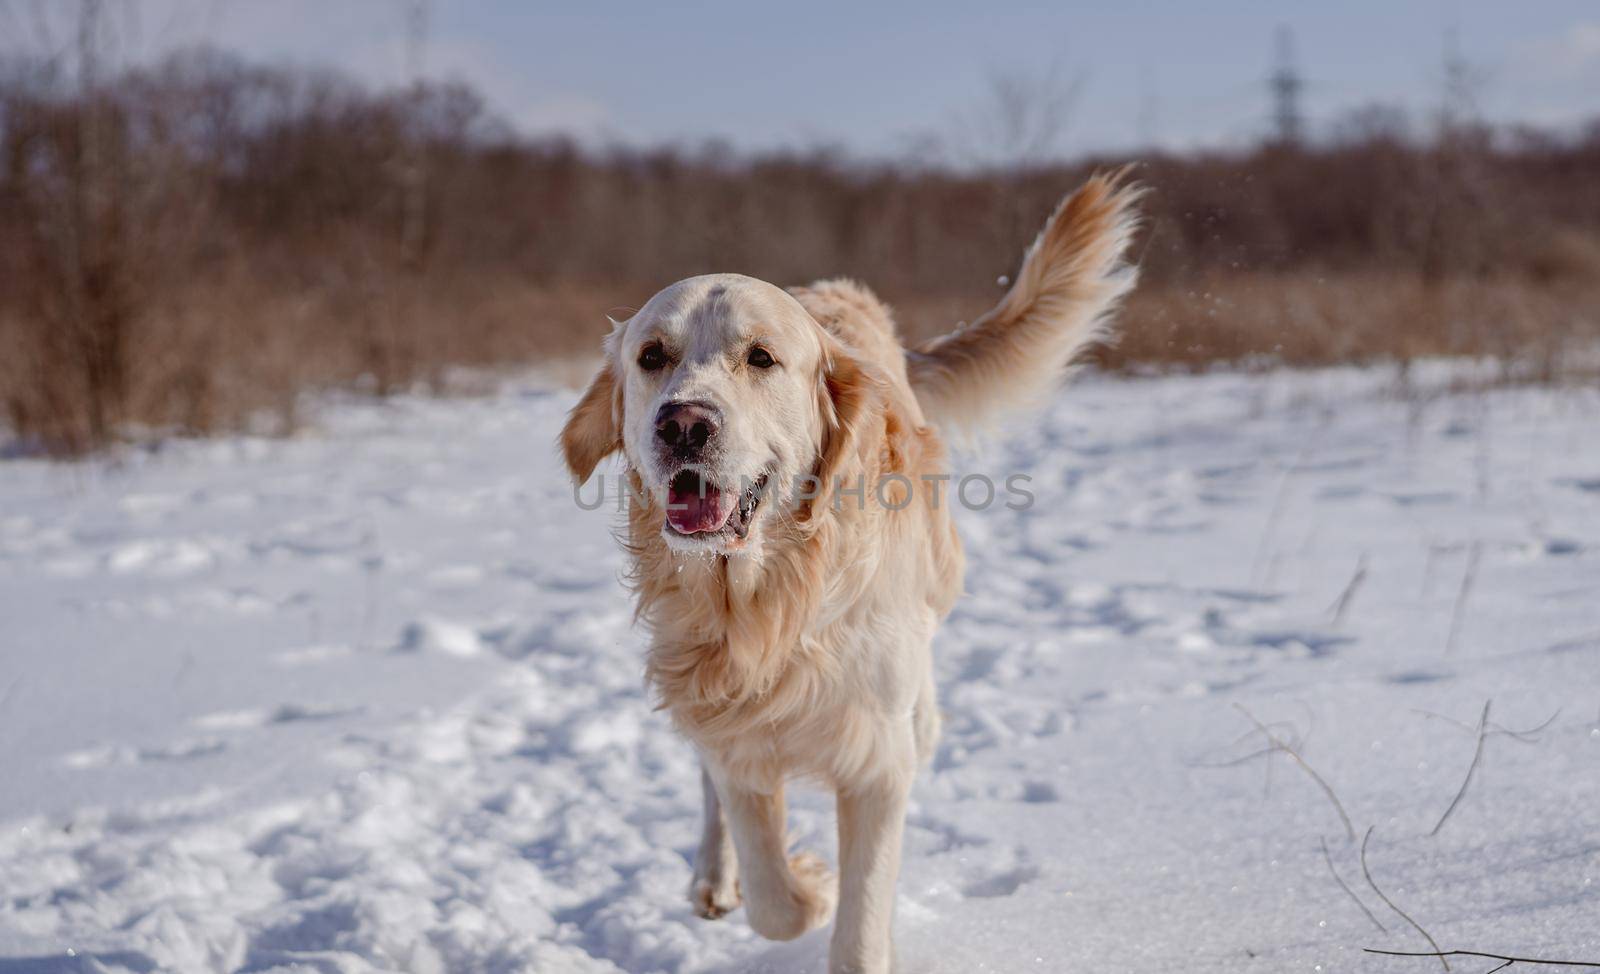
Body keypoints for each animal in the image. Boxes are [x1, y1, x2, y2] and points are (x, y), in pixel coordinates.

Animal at [560, 174, 1139, 972]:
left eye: (761, 358)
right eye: (652, 356)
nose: (682, 424)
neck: (768, 597)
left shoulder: (876, 758)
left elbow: (862, 918)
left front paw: (845, 907)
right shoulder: (733, 718)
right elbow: (773, 898)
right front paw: (807, 886)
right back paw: (713, 874)